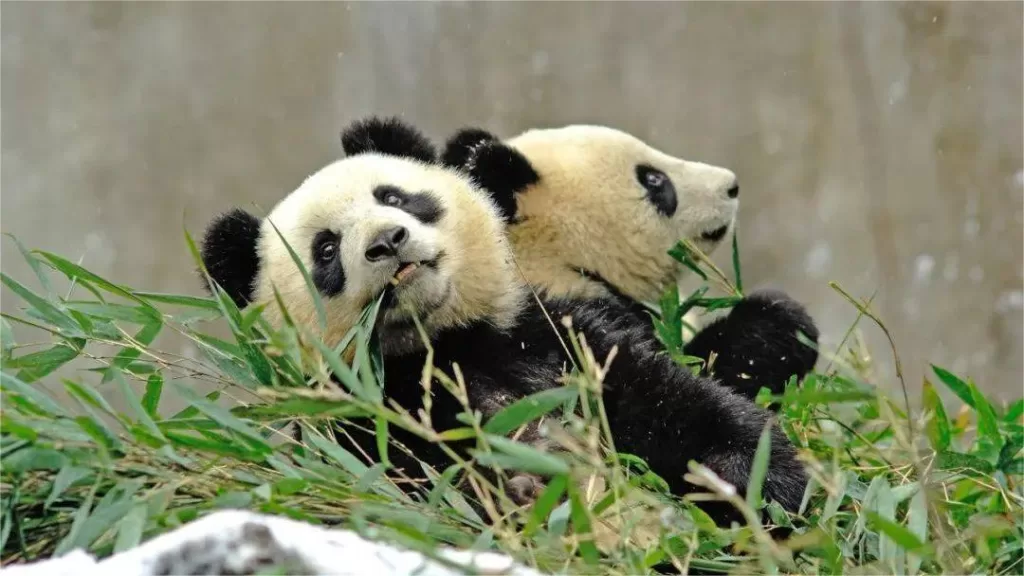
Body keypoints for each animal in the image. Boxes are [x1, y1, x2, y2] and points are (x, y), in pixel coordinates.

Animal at [444, 124, 819, 403]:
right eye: (653, 179)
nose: (731, 185)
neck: (551, 261)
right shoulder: (566, 322)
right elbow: (700, 367)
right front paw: (781, 323)